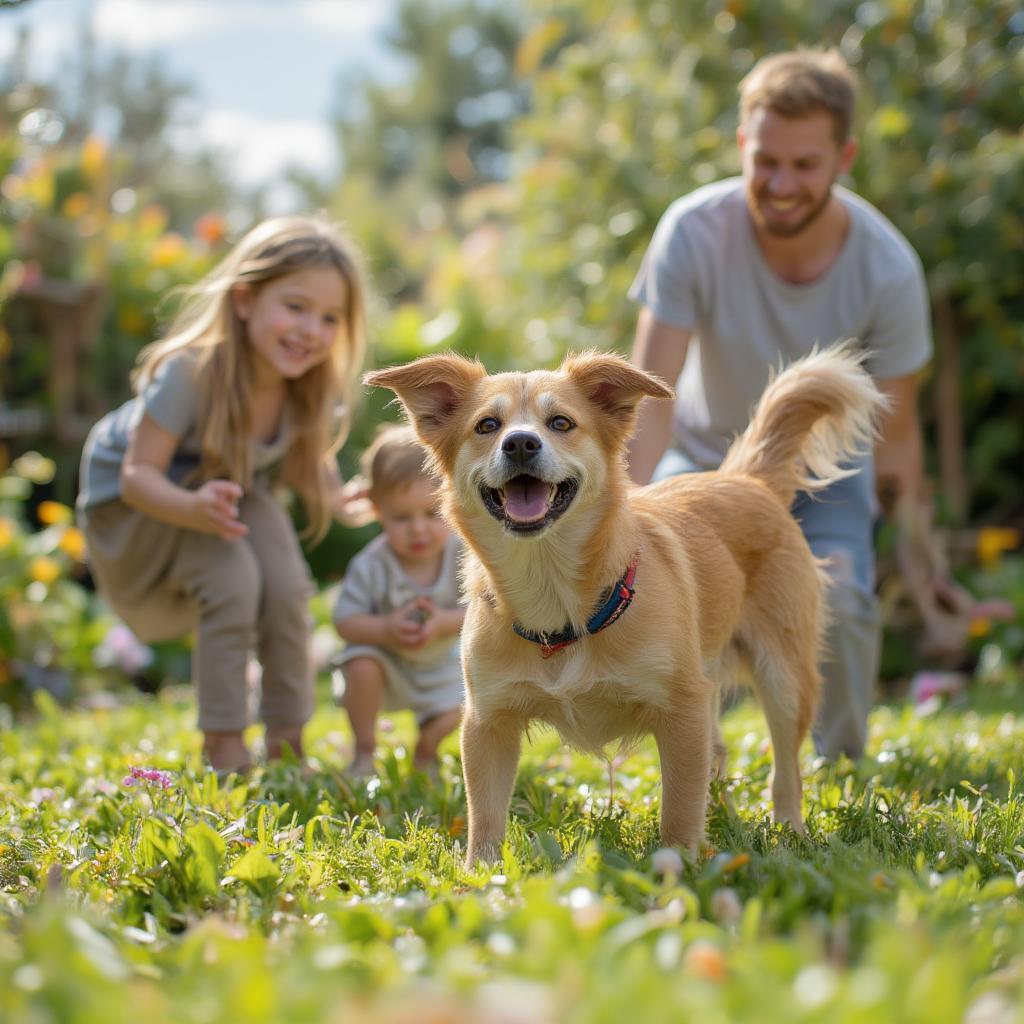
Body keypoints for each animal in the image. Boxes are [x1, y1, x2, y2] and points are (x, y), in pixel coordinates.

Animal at [366, 346, 880, 864]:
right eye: (487, 425)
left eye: (561, 422)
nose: (520, 444)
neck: (554, 590)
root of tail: (744, 478)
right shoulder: (487, 722)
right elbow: (486, 815)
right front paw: (483, 873)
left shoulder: (683, 709)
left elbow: (679, 805)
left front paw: (680, 864)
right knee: (718, 757)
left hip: (784, 678)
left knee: (785, 770)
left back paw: (788, 831)